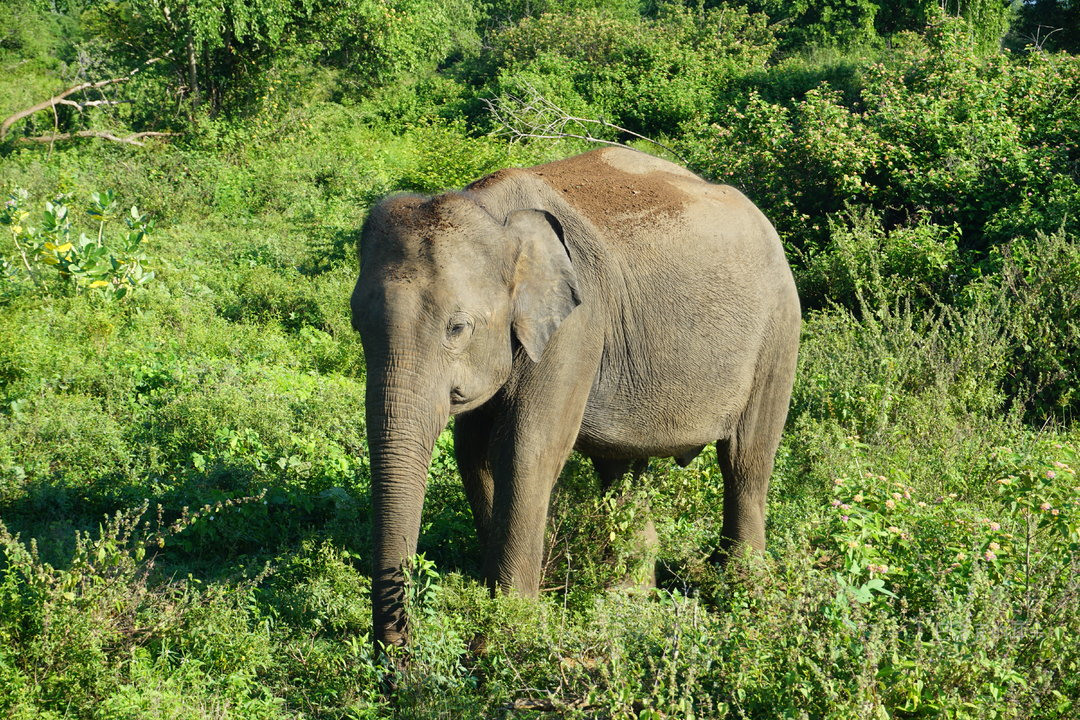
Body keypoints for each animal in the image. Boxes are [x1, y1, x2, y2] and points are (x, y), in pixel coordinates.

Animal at [349, 147, 799, 651]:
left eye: (457, 328)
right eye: (356, 323)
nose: (397, 656)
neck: (494, 213)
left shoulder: (576, 325)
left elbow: (526, 449)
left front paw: (510, 629)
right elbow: (473, 451)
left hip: (778, 329)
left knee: (745, 459)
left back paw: (741, 592)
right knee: (623, 471)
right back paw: (628, 597)